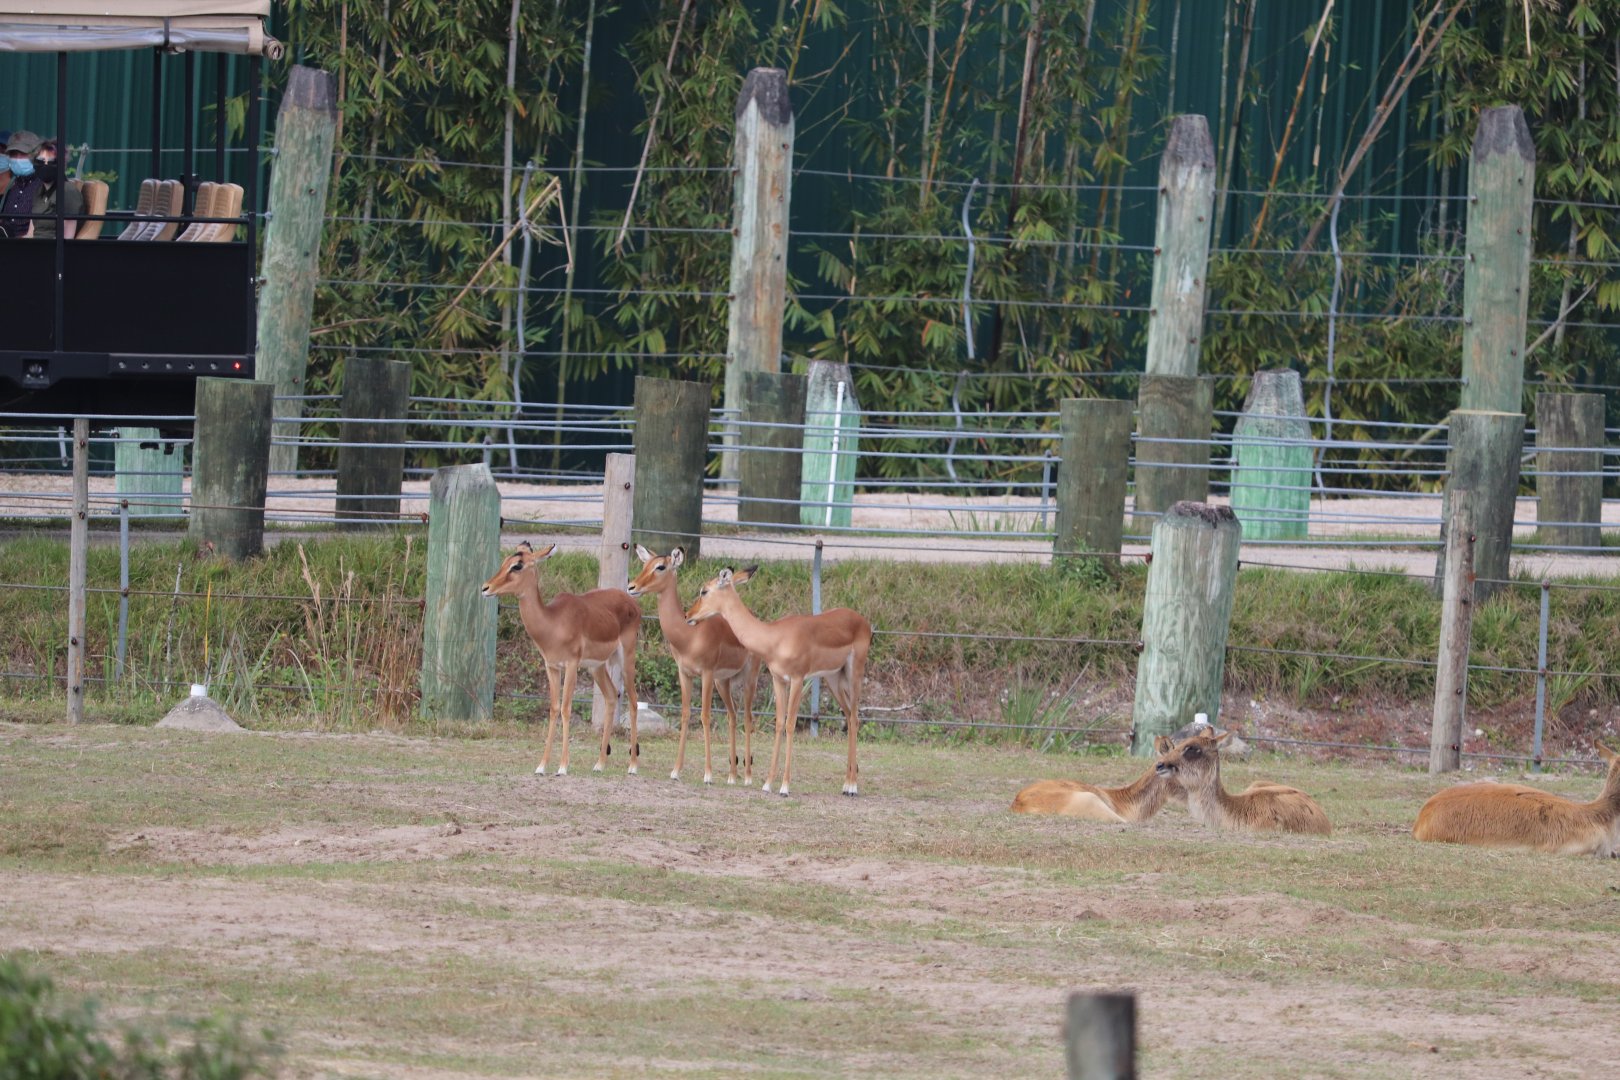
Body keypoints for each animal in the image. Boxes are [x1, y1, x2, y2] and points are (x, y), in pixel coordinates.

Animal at [480, 542, 642, 776]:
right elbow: (554, 708)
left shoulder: (571, 665)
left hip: (626, 658)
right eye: (505, 562)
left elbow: (566, 709)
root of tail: (632, 601)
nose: (486, 588)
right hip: (597, 667)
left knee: (633, 700)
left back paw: (632, 766)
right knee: (612, 696)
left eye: (517, 565)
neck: (553, 622)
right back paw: (599, 764)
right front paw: (541, 766)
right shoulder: (552, 667)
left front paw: (563, 766)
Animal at [627, 545, 761, 785]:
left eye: (660, 566)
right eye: (645, 564)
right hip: (723, 682)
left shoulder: (706, 673)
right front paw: (675, 771)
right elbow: (686, 714)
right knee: (732, 716)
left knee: (747, 717)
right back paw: (731, 776)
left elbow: (705, 716)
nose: (632, 587)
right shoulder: (685, 674)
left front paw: (708, 774)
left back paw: (747, 777)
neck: (689, 635)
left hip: (749, 678)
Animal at [684, 566, 871, 796]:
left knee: (855, 718)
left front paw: (784, 786)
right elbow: (779, 723)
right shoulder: (778, 680)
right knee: (849, 716)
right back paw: (845, 785)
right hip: (833, 678)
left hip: (855, 674)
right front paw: (767, 783)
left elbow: (791, 724)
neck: (774, 637)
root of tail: (863, 621)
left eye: (704, 591)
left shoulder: (797, 679)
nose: (688, 615)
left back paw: (853, 787)